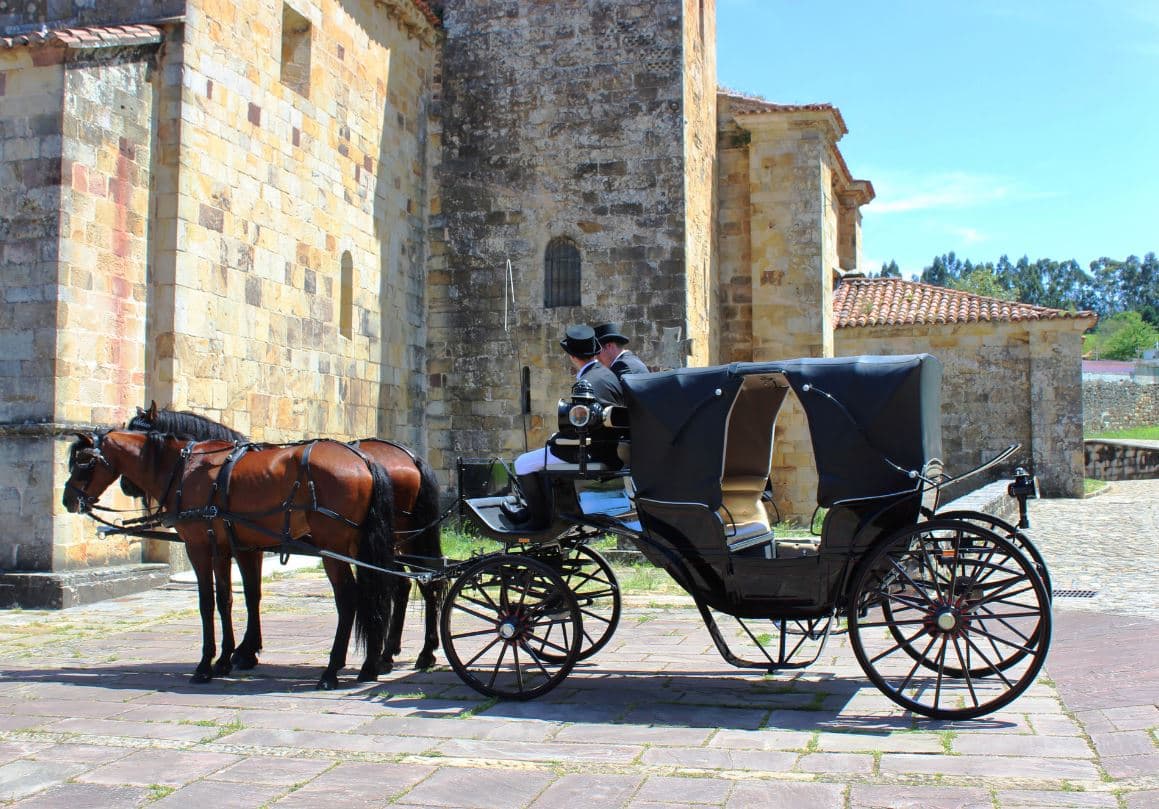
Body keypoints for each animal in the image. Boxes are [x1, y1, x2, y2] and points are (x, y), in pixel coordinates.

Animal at [67, 428, 405, 686]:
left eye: (84, 462)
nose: (67, 499)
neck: (185, 469)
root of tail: (365, 461)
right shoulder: (229, 546)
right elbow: (229, 599)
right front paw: (228, 658)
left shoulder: (198, 545)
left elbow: (207, 603)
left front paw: (206, 664)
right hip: (359, 545)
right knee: (378, 592)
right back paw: (370, 665)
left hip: (334, 546)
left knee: (350, 599)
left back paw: (333, 670)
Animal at [124, 403, 445, 672]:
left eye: (137, 433)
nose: (127, 486)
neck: (220, 469)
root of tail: (411, 458)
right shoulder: (248, 546)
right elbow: (252, 594)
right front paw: (247, 650)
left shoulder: (235, 545)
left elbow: (243, 595)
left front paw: (239, 652)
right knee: (410, 583)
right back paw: (398, 652)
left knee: (416, 584)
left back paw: (410, 653)